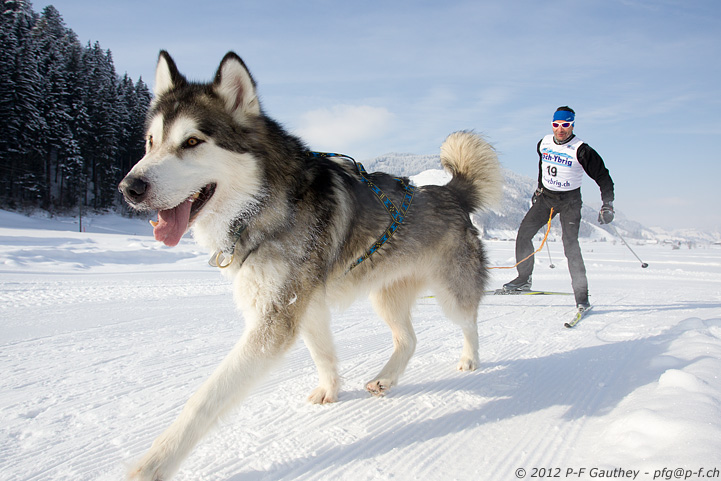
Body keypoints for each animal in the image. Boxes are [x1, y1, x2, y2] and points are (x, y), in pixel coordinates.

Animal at [116, 50, 500, 478]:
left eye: (193, 142)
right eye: (151, 142)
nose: (129, 187)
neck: (263, 203)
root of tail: (452, 192)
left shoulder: (276, 318)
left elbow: (205, 398)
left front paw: (153, 464)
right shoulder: (304, 304)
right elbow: (323, 354)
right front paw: (331, 390)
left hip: (451, 293)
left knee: (470, 323)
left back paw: (469, 359)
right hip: (385, 296)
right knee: (409, 339)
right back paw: (385, 379)